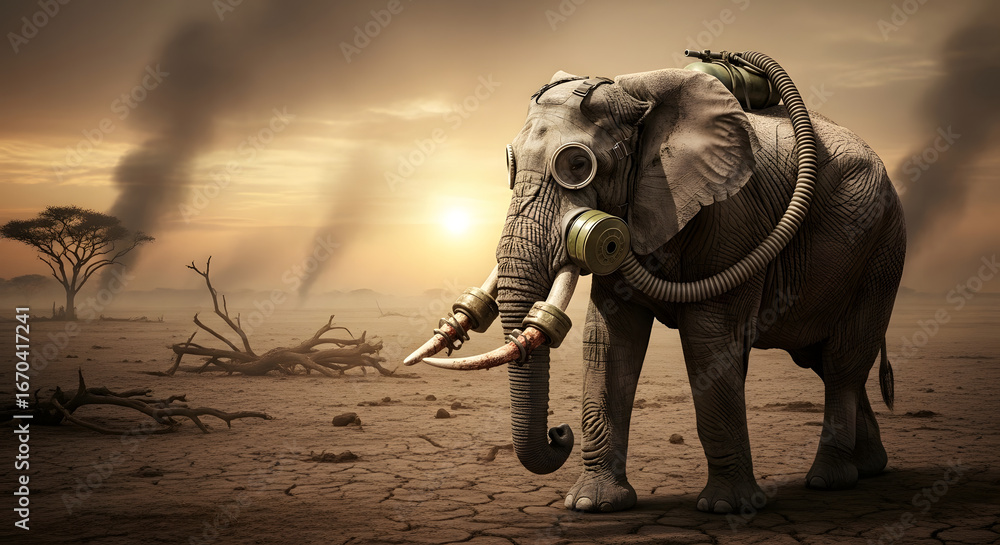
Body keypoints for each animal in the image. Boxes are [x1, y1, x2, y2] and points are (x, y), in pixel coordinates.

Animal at [406, 54, 906, 514]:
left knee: (842, 361)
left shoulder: (733, 216)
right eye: (509, 163)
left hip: (882, 247)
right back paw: (868, 468)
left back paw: (829, 480)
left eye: (577, 165)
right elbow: (609, 341)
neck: (635, 98)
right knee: (823, 359)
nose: (559, 432)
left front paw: (726, 508)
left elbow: (709, 339)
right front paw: (593, 505)